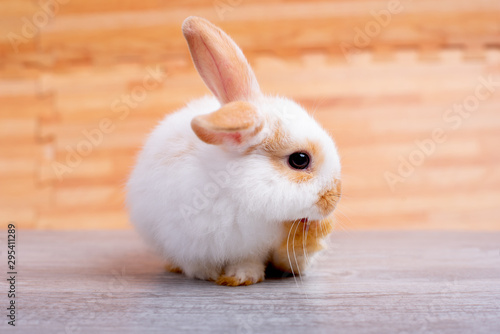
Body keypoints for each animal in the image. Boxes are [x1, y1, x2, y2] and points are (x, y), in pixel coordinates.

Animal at [127, 16, 342, 288]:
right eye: (300, 160)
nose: (335, 198)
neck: (237, 192)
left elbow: (258, 259)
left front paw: (241, 276)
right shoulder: (186, 241)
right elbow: (198, 263)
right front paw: (212, 275)